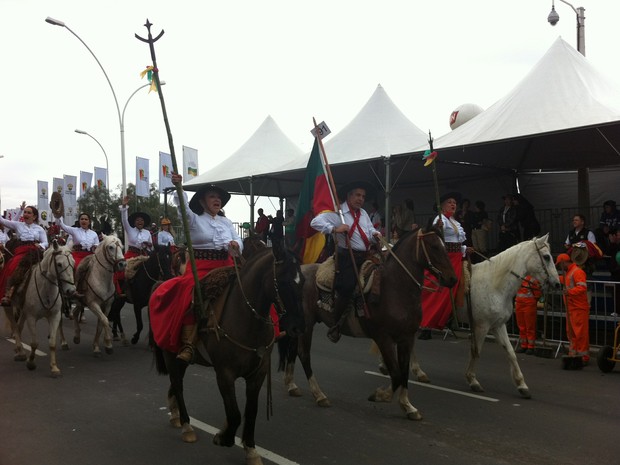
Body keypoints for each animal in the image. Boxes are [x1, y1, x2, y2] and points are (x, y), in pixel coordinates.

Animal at [7, 239, 76, 376]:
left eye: (73, 263)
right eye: (59, 264)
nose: (71, 291)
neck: (46, 289)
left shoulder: (54, 316)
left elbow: (52, 343)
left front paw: (54, 367)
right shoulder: (31, 317)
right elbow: (34, 343)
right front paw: (31, 363)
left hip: (23, 310)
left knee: (19, 326)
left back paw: (20, 352)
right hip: (9, 305)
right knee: (14, 325)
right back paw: (19, 349)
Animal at [150, 239, 306, 464]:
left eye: (303, 281)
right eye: (284, 281)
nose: (298, 328)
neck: (246, 317)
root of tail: (160, 285)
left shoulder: (257, 374)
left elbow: (251, 411)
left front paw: (250, 449)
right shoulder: (225, 374)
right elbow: (234, 414)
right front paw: (224, 436)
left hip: (181, 358)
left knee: (175, 382)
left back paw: (174, 413)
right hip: (169, 353)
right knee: (178, 385)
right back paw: (187, 426)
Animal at [280, 226, 456, 420]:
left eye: (444, 245)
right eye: (434, 247)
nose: (452, 279)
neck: (395, 288)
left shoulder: (407, 338)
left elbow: (403, 373)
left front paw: (408, 406)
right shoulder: (383, 338)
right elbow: (396, 374)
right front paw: (381, 395)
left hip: (300, 326)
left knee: (292, 350)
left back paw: (292, 385)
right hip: (307, 325)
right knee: (304, 354)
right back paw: (319, 395)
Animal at [406, 234, 560, 396]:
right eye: (546, 257)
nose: (557, 284)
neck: (495, 285)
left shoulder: (498, 325)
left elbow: (510, 352)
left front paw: (522, 385)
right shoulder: (481, 326)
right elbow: (476, 351)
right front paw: (472, 380)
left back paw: (416, 371)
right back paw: (417, 371)